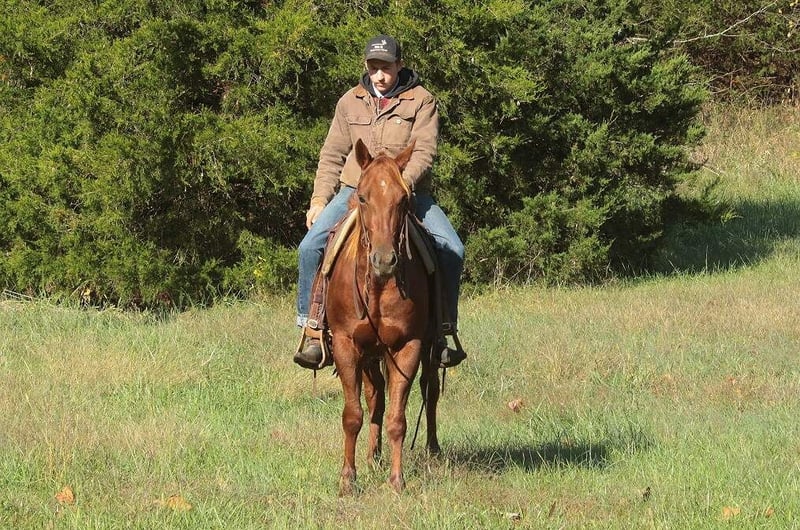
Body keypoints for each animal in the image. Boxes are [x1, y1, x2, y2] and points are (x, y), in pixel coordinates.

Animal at [326, 139, 440, 495]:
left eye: (403, 199)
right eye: (362, 197)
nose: (385, 260)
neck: (377, 286)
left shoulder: (408, 346)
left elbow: (398, 419)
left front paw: (397, 479)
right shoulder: (347, 346)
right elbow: (353, 415)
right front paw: (348, 478)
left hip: (428, 348)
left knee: (430, 390)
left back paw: (433, 451)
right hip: (368, 356)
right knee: (374, 397)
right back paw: (371, 456)